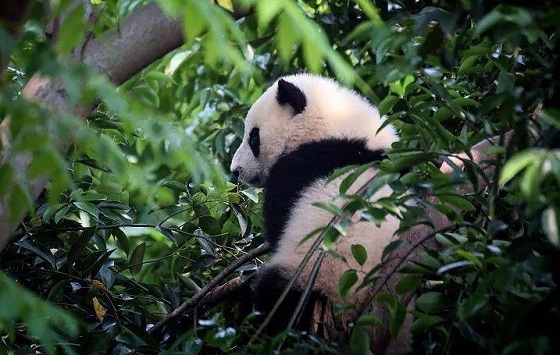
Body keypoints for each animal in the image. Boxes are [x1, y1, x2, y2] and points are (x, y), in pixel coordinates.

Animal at [230, 73, 410, 352]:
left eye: (254, 138)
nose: (236, 170)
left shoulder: (296, 171)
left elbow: (277, 225)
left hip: (316, 276)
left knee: (276, 299)